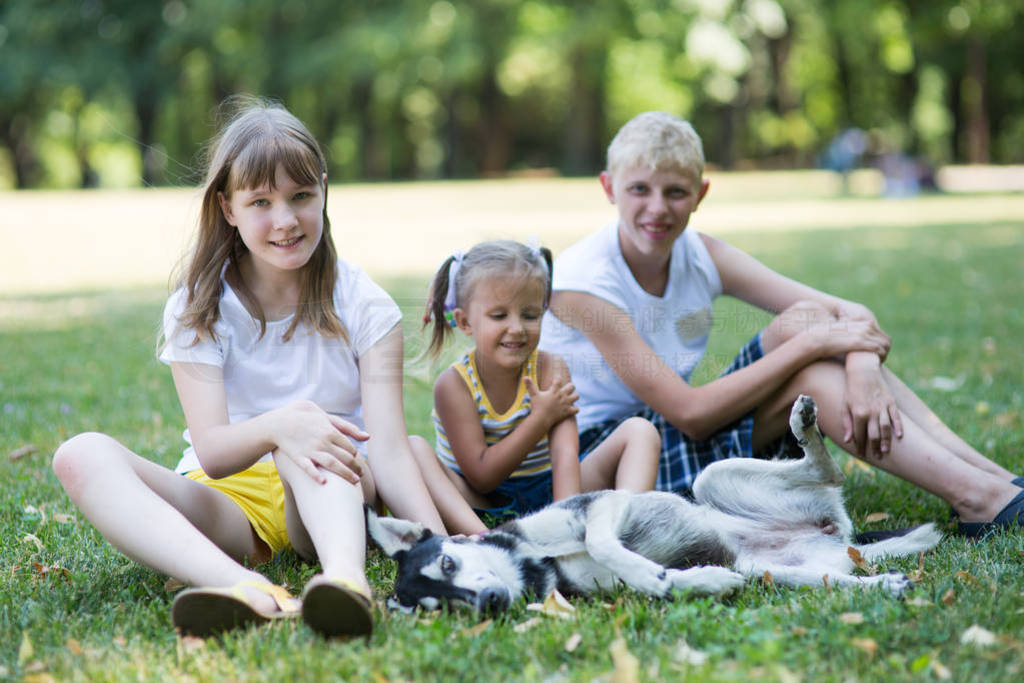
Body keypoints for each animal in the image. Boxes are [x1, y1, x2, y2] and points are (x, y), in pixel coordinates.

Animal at [370, 395, 942, 614]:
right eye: (442, 608)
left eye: (448, 563)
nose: (489, 602)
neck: (531, 561)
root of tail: (842, 538)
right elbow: (671, 586)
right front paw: (696, 581)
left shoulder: (601, 504)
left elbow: (605, 542)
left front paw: (647, 571)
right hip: (775, 570)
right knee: (833, 577)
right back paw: (883, 584)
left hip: (713, 477)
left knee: (827, 471)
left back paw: (804, 425)